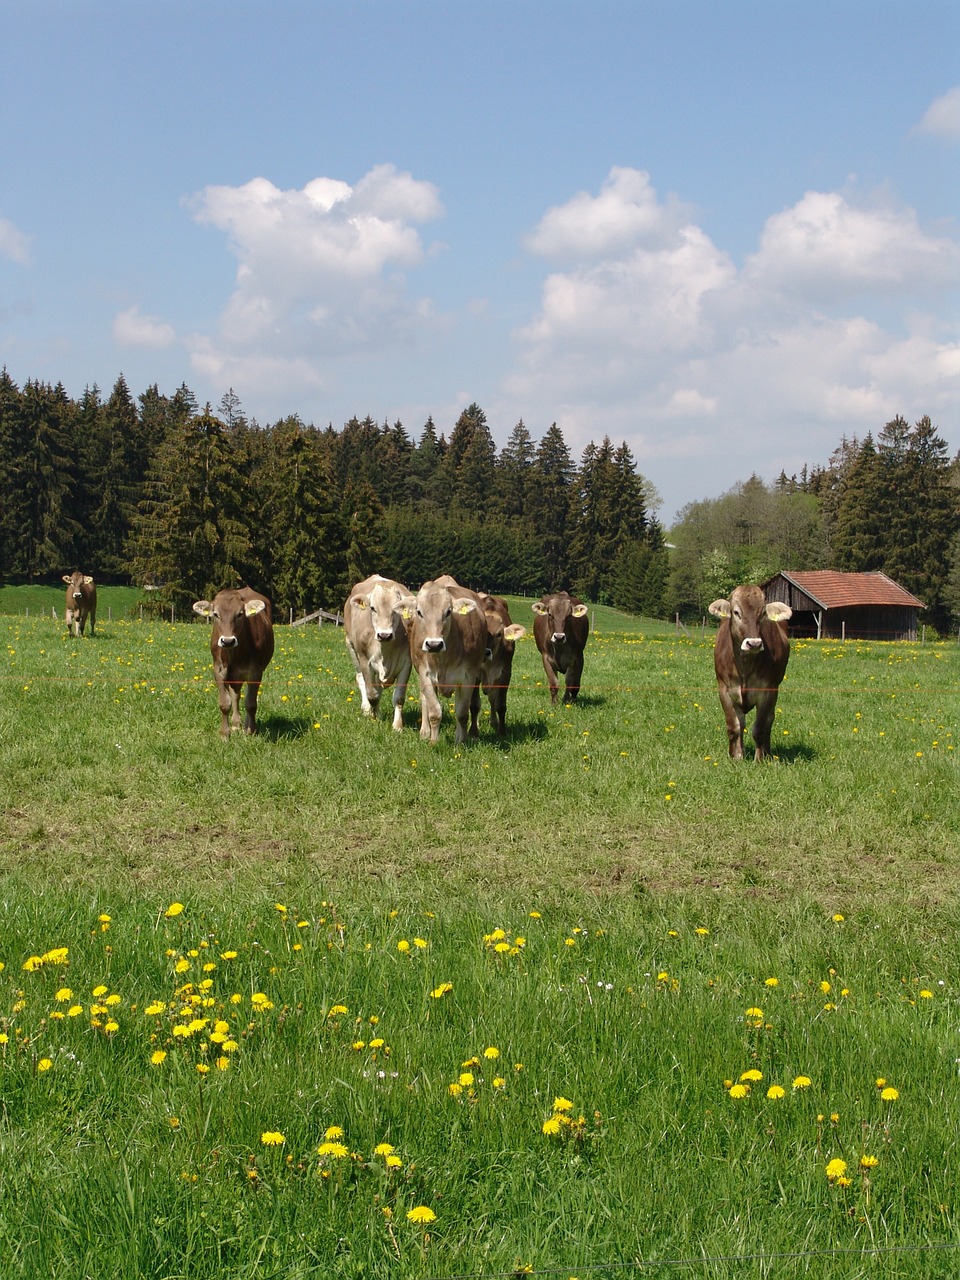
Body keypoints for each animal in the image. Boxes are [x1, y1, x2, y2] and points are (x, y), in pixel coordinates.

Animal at [192, 586, 273, 742]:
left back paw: (245, 725)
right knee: (235, 695)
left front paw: (251, 731)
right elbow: (225, 703)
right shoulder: (218, 670)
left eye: (240, 614)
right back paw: (236, 724)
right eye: (215, 614)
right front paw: (225, 734)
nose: (228, 641)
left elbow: (251, 703)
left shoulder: (256, 672)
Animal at [345, 573, 414, 732]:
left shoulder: (407, 663)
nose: (384, 635)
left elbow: (399, 697)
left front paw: (397, 726)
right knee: (361, 680)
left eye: (396, 609)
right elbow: (372, 694)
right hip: (351, 646)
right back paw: (366, 709)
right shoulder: (365, 661)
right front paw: (374, 717)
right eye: (372, 608)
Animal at [401, 578, 488, 747]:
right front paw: (434, 741)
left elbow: (462, 713)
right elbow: (434, 712)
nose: (434, 644)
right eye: (419, 612)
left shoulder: (468, 677)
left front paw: (461, 741)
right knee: (424, 701)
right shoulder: (425, 674)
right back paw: (425, 732)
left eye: (448, 612)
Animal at [711, 586, 793, 757]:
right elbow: (734, 727)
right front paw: (735, 757)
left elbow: (760, 728)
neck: (744, 667)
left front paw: (760, 759)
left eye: (762, 614)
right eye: (736, 612)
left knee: (769, 720)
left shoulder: (768, 691)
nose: (754, 643)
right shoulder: (724, 690)